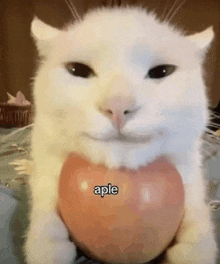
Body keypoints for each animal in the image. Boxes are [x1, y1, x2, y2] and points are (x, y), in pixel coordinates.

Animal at [24, 4, 217, 264]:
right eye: (78, 70)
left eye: (161, 71)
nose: (117, 106)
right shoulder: (45, 158)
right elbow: (44, 194)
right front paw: (48, 243)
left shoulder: (189, 164)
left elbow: (196, 201)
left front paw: (195, 245)